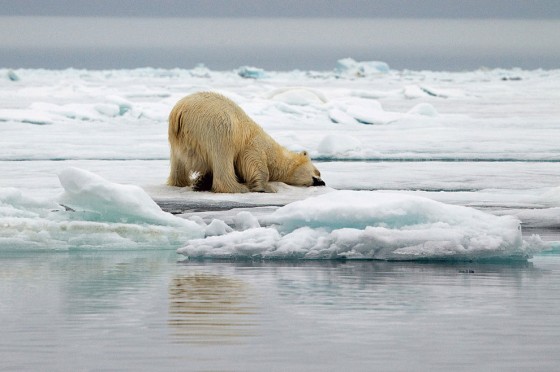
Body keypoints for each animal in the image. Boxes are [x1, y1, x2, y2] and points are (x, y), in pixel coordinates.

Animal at [166, 91, 324, 193]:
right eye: (317, 172)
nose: (322, 182)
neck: (273, 152)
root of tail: (180, 111)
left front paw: (201, 182)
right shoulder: (253, 145)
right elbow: (255, 164)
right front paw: (264, 187)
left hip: (177, 140)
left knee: (178, 164)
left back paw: (181, 182)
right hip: (215, 127)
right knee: (223, 155)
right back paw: (239, 187)